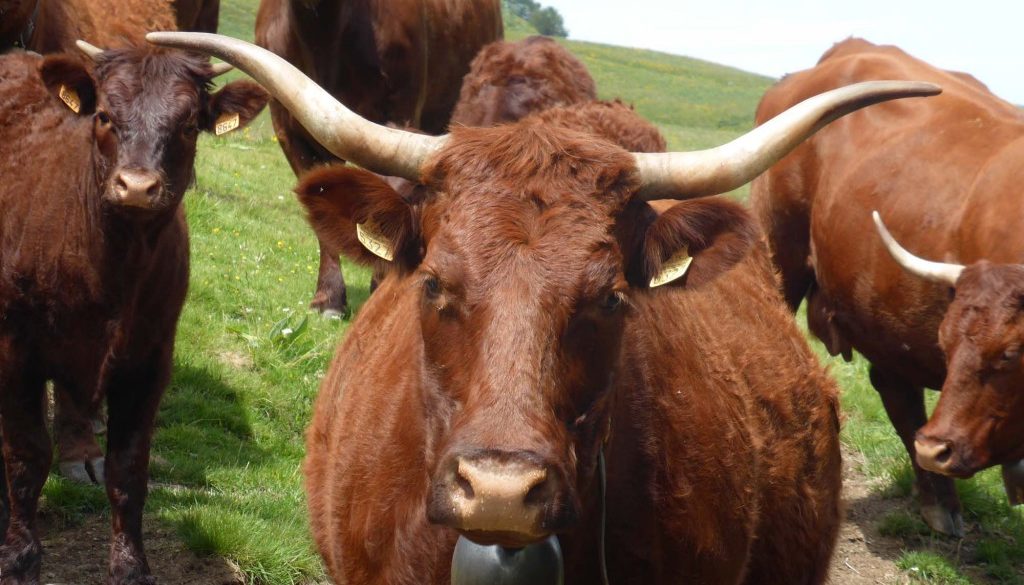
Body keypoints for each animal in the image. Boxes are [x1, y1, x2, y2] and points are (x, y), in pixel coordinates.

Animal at [0, 44, 268, 581]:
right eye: (104, 115)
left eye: (189, 125)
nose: (138, 186)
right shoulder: (14, 349)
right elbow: (26, 457)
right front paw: (19, 559)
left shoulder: (148, 360)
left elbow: (127, 471)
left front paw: (131, 567)